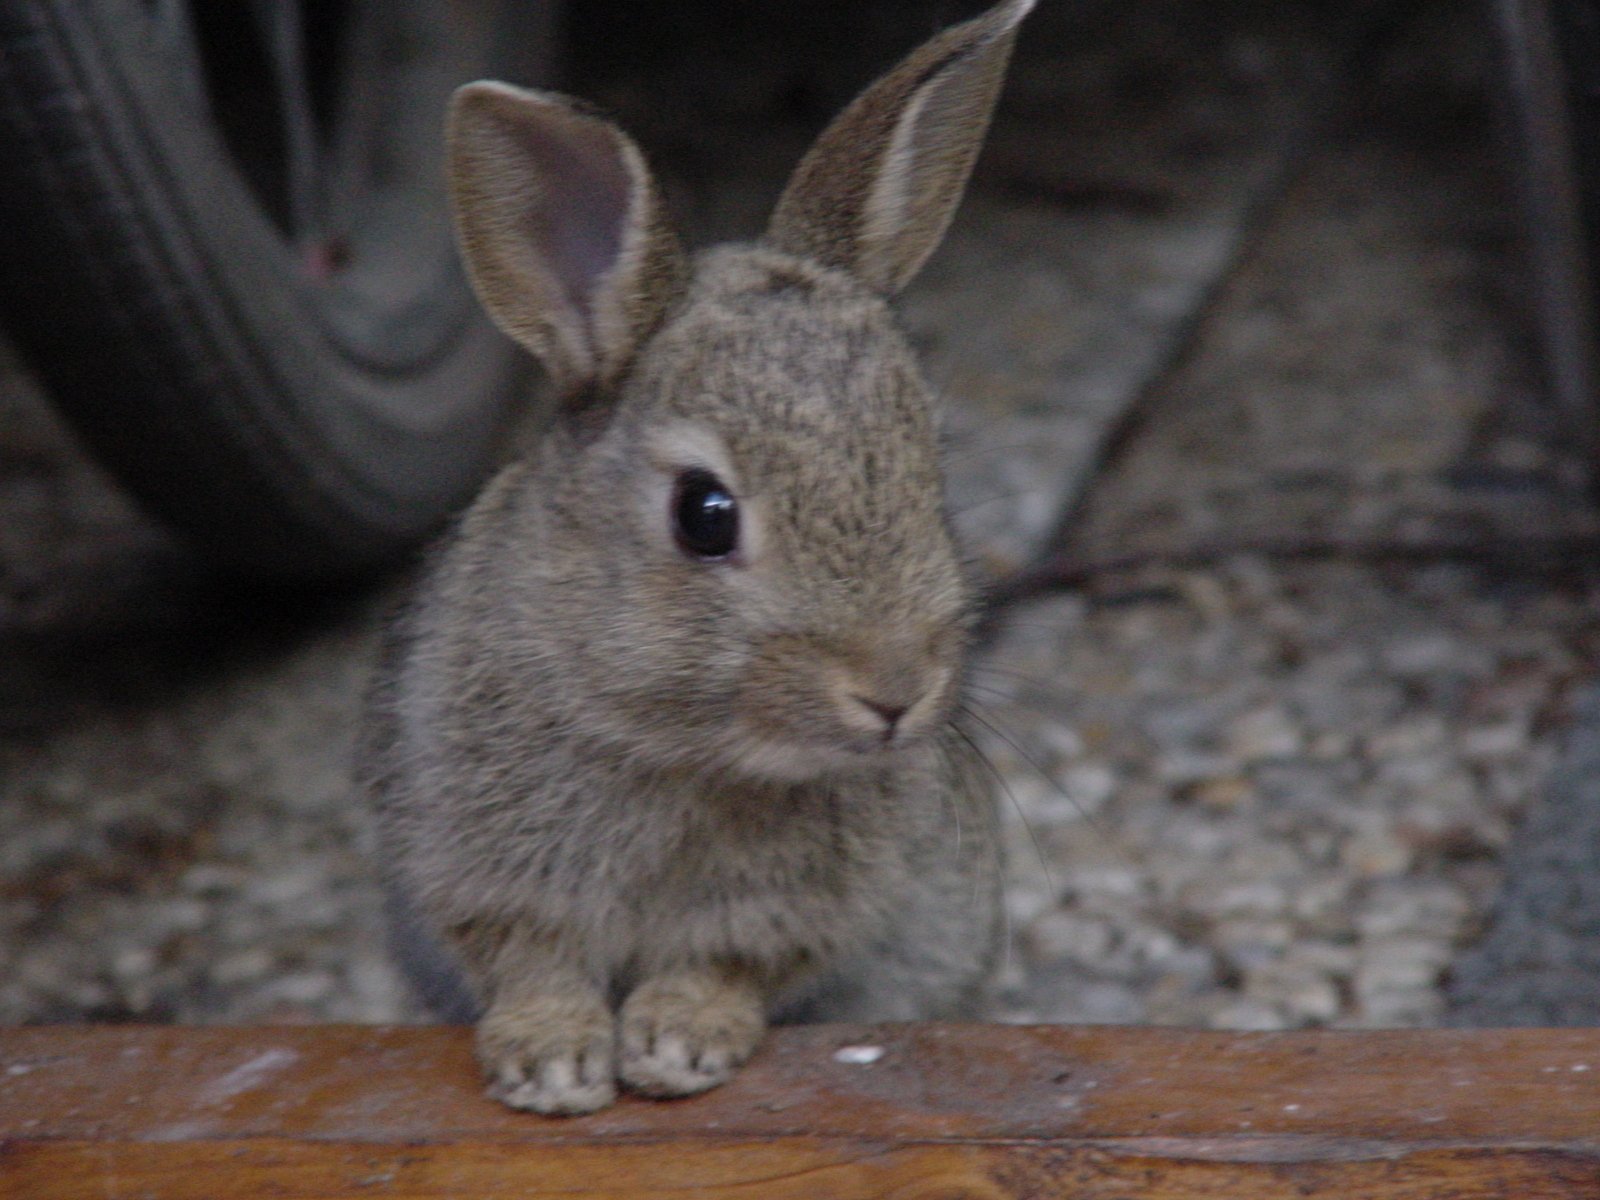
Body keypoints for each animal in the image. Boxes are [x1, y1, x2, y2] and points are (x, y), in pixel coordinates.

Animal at [358, 0, 1036, 1120]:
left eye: (927, 469)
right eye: (704, 515)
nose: (894, 695)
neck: (683, 745)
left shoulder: (796, 910)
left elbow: (726, 965)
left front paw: (678, 1045)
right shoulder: (477, 866)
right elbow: (530, 961)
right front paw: (552, 1065)